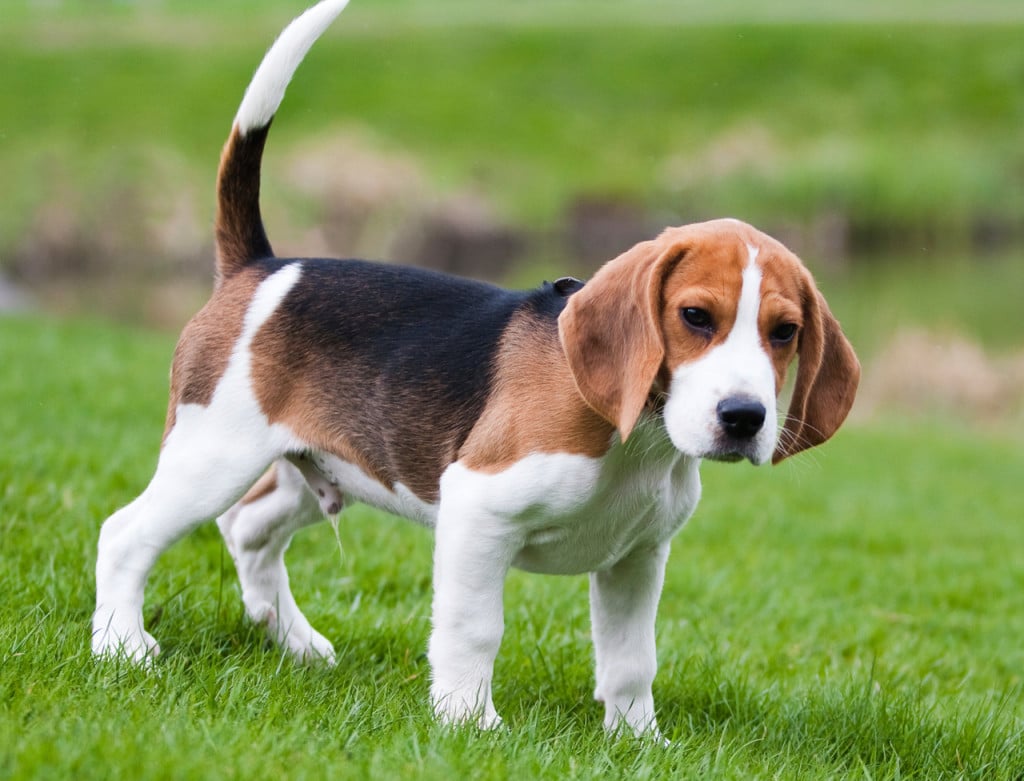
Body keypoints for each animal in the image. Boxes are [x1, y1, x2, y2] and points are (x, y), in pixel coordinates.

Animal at [92, 0, 860, 741]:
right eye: (696, 316)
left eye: (784, 333)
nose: (745, 418)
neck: (636, 435)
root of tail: (262, 266)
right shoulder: (478, 511)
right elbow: (475, 628)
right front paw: (469, 721)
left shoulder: (636, 557)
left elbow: (631, 659)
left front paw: (639, 741)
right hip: (214, 453)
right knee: (126, 534)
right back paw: (123, 646)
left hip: (322, 467)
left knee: (247, 531)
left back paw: (297, 644)